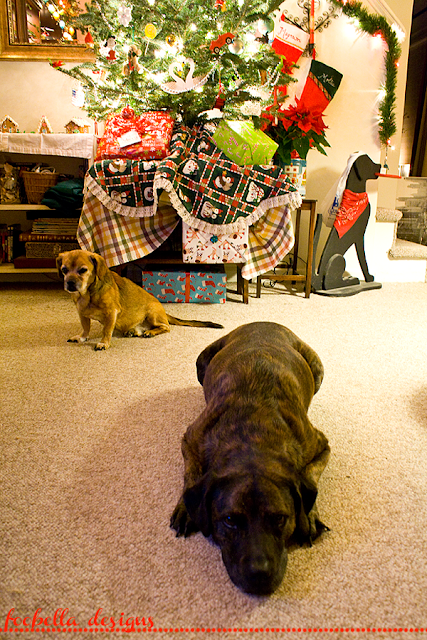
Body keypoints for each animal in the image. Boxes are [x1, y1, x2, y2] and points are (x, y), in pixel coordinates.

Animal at [56, 250, 224, 350]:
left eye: (83, 270)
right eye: (64, 270)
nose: (69, 283)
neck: (87, 294)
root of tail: (164, 312)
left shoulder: (111, 312)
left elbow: (106, 330)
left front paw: (103, 342)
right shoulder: (82, 314)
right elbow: (85, 328)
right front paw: (81, 338)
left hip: (152, 313)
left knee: (166, 327)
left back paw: (150, 332)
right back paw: (133, 332)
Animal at [171, 322, 332, 596]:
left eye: (279, 519)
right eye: (229, 521)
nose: (259, 574)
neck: (252, 435)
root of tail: (264, 322)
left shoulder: (321, 444)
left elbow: (311, 476)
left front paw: (309, 515)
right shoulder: (190, 439)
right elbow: (190, 473)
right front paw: (185, 507)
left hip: (318, 368)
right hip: (201, 361)